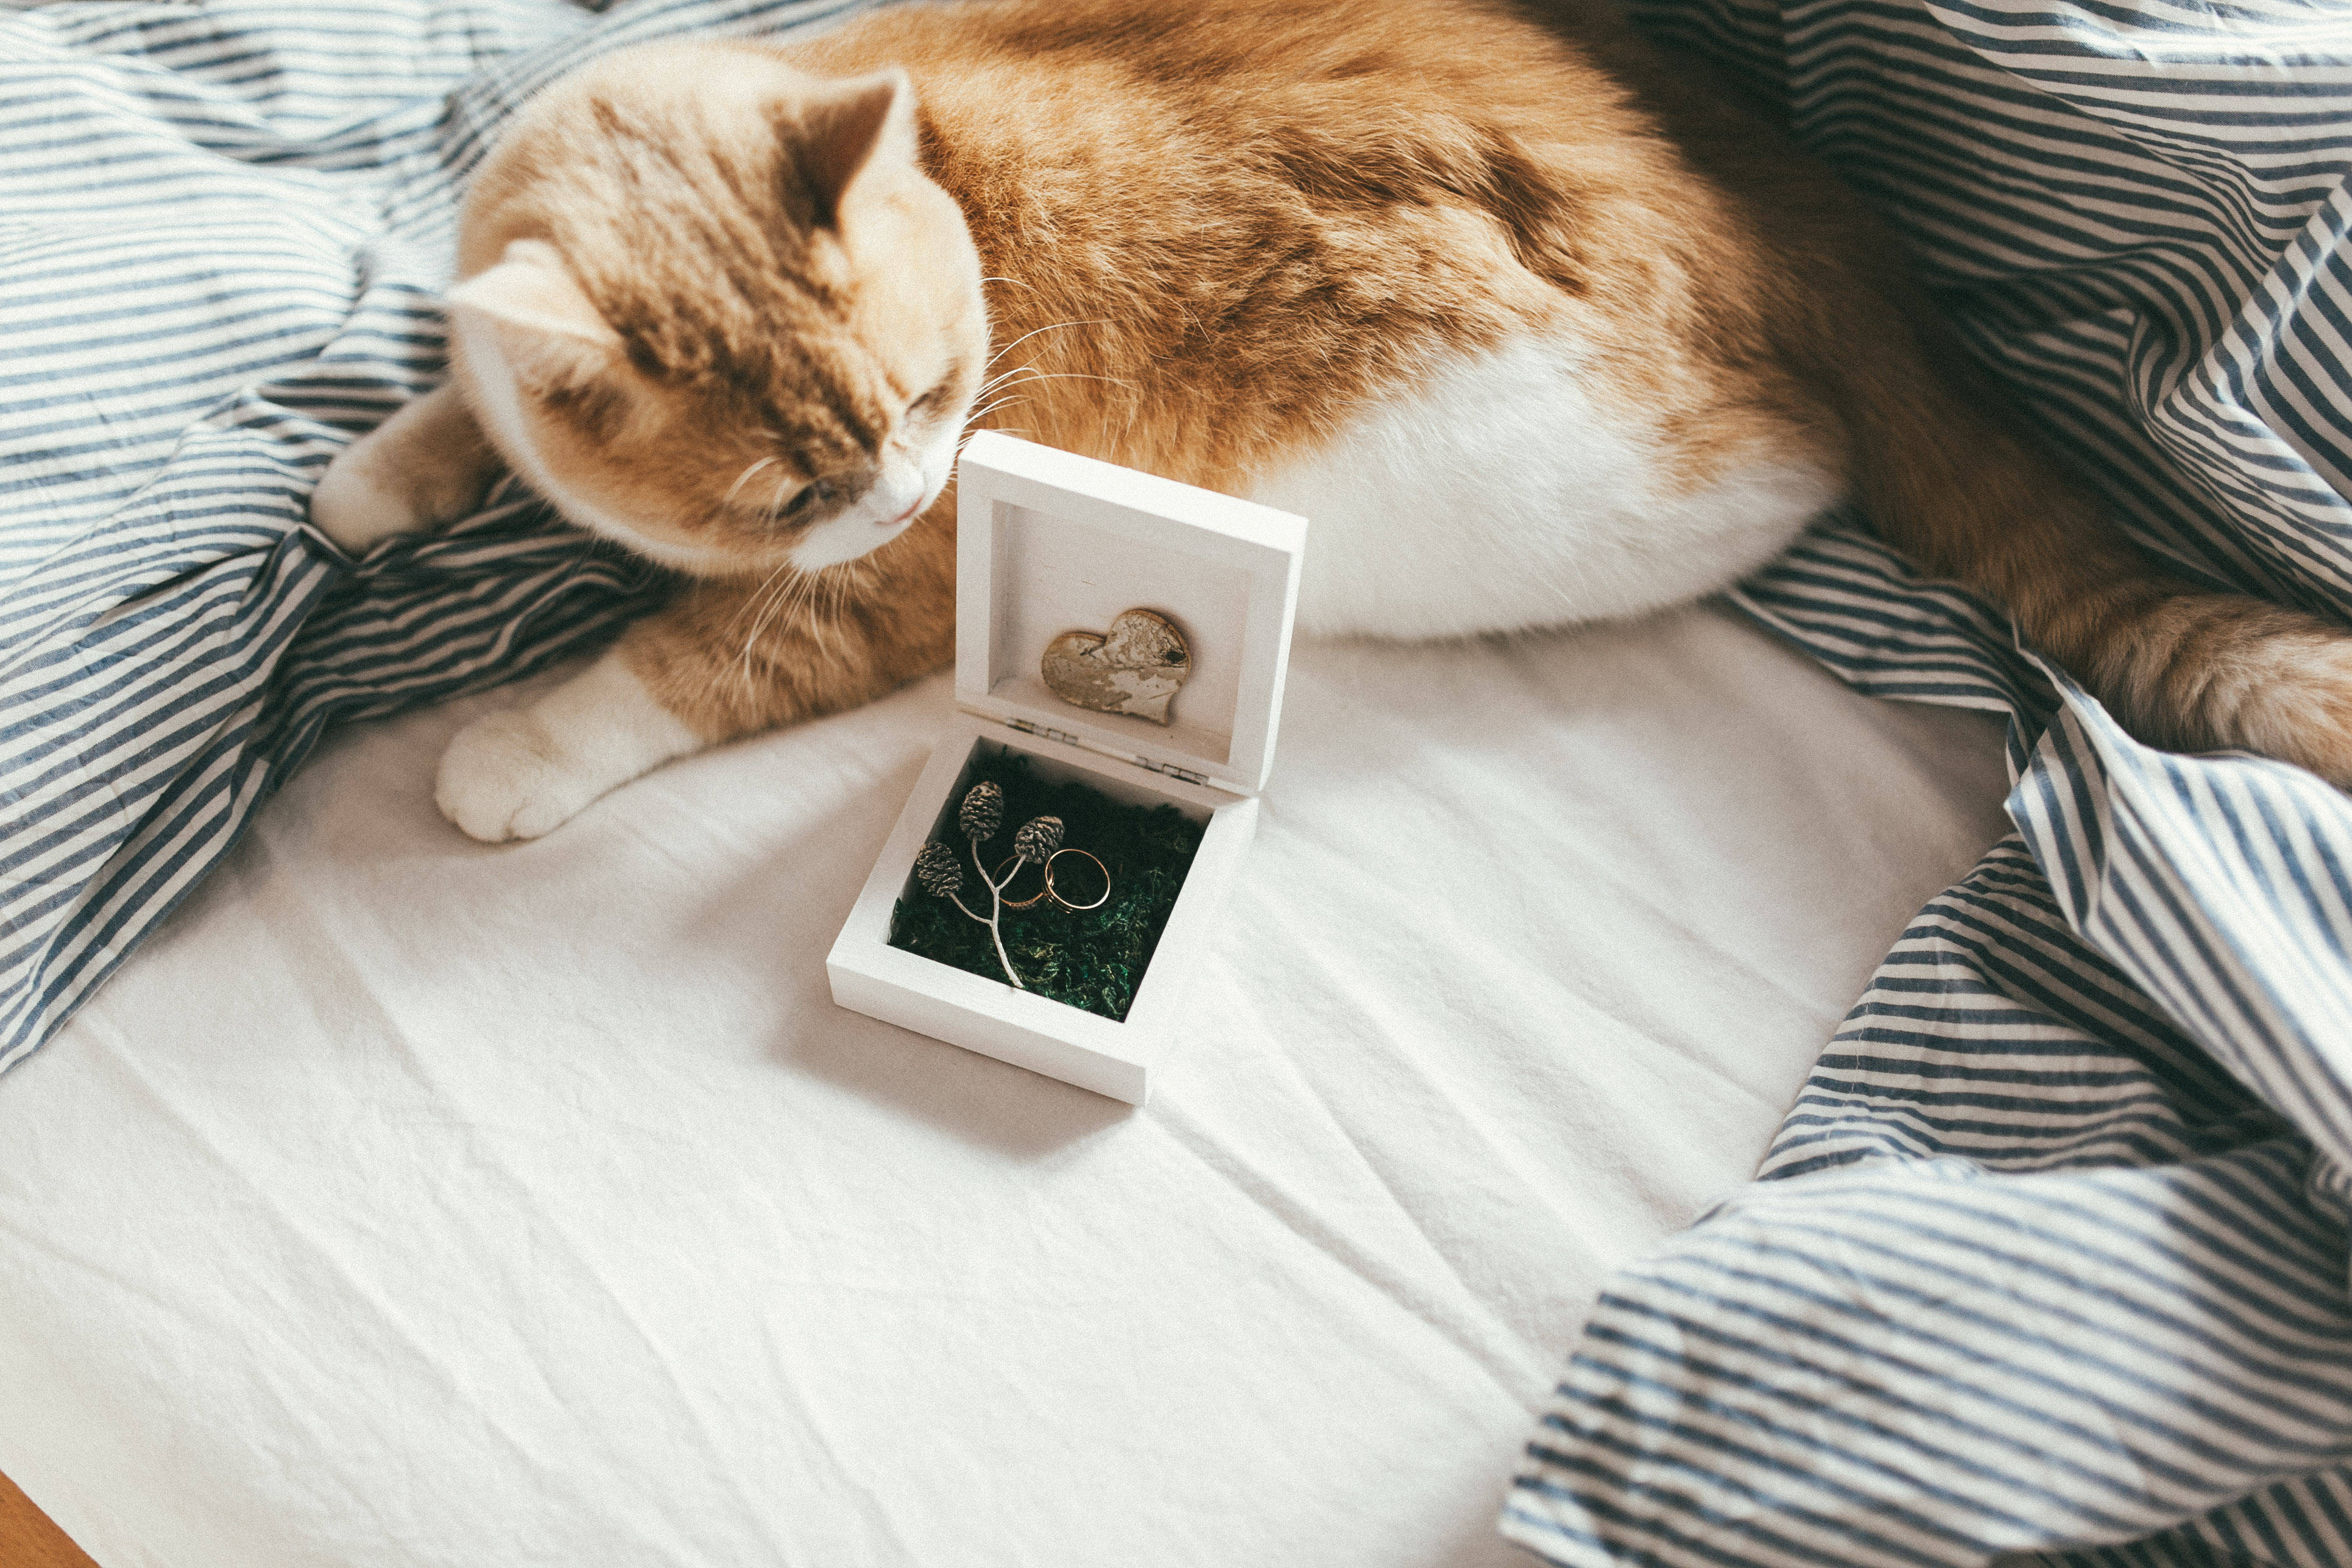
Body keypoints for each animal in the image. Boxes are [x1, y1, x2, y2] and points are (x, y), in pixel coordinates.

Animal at [313, 0, 2352, 846]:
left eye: (928, 408)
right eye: (794, 478)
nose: (896, 486)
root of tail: (1817, 216)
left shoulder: (898, 574)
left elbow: (691, 660)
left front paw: (519, 749)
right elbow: (461, 395)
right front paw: (381, 469)